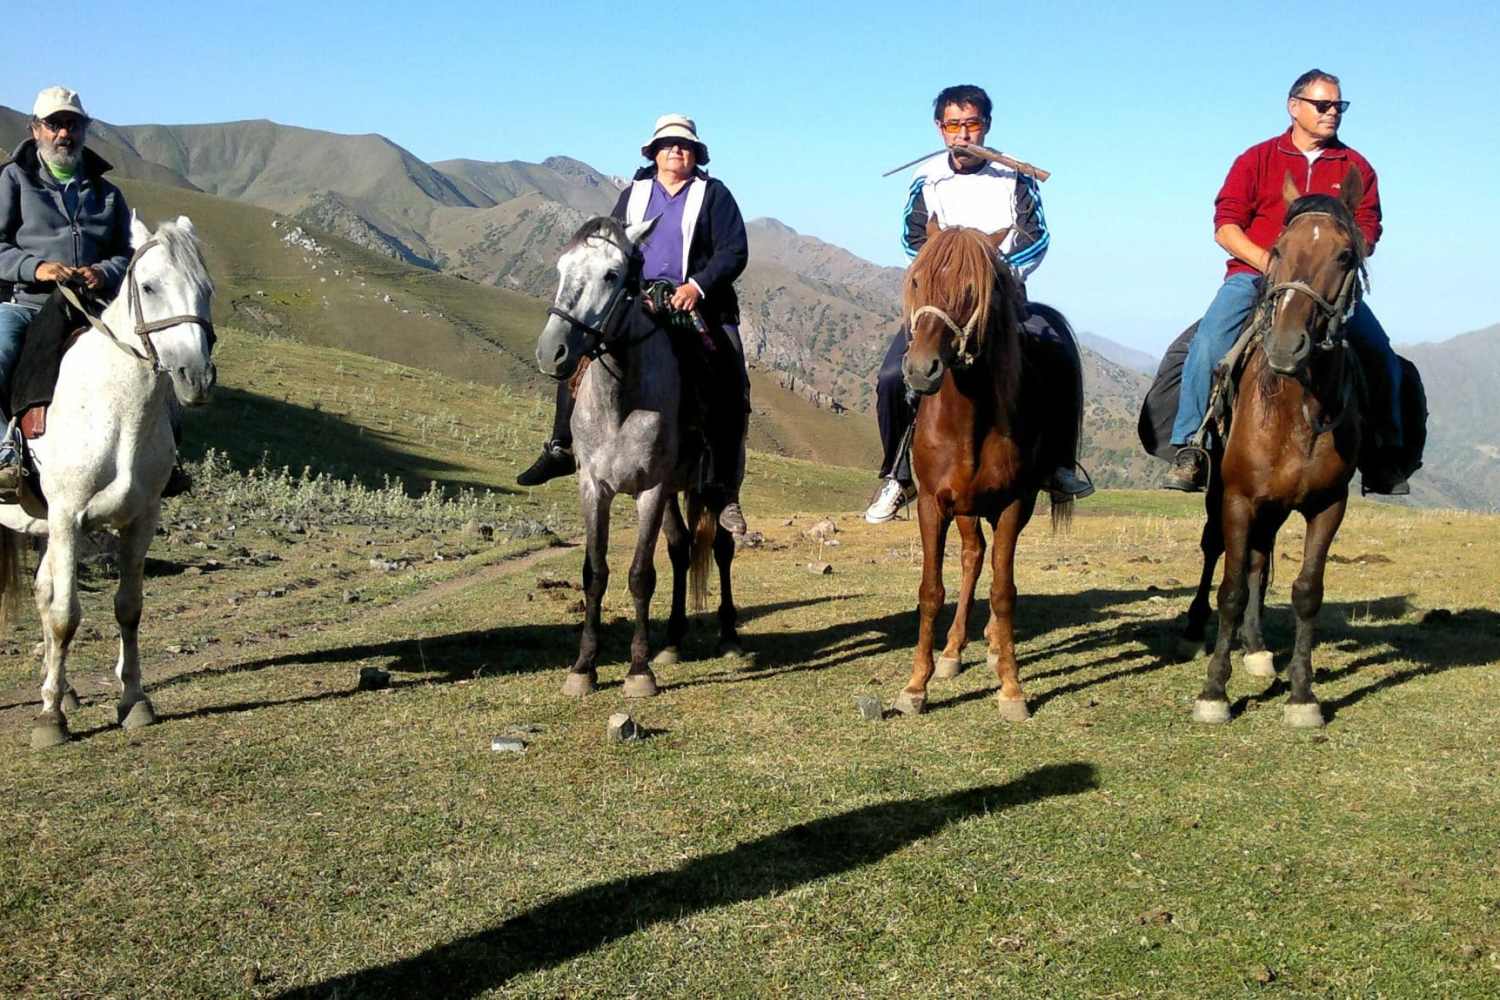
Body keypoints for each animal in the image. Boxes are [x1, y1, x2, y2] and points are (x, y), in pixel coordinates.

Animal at [0, 215, 217, 748]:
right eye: (150, 286)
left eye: (207, 289)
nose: (197, 377)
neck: (115, 409)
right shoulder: (67, 517)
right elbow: (65, 614)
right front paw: (49, 720)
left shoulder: (141, 517)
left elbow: (128, 607)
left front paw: (133, 701)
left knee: (42, 590)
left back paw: (66, 690)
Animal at [534, 216, 738, 698]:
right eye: (561, 268)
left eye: (612, 275)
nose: (551, 351)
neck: (622, 398)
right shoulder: (594, 488)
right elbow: (595, 573)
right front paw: (584, 667)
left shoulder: (651, 489)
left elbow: (641, 575)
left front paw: (639, 671)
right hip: (675, 492)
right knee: (682, 550)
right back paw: (674, 641)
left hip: (719, 479)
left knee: (723, 547)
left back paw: (728, 636)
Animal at [894, 226, 1078, 720]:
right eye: (916, 280)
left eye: (972, 291)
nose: (920, 370)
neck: (967, 423)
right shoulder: (933, 505)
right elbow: (931, 590)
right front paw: (916, 686)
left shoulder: (1014, 503)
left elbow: (1004, 591)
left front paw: (1012, 689)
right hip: (964, 508)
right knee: (973, 557)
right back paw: (953, 652)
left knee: (989, 564)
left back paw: (994, 647)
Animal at [1185, 166, 1370, 729]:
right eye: (1279, 249)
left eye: (1345, 255)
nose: (1287, 346)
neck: (1296, 410)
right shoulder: (1238, 499)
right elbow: (1230, 588)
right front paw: (1214, 693)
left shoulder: (1328, 506)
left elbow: (1306, 592)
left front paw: (1303, 695)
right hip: (1223, 495)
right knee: (1217, 553)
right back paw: (1198, 626)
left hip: (1275, 508)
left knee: (1259, 561)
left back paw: (1257, 648)